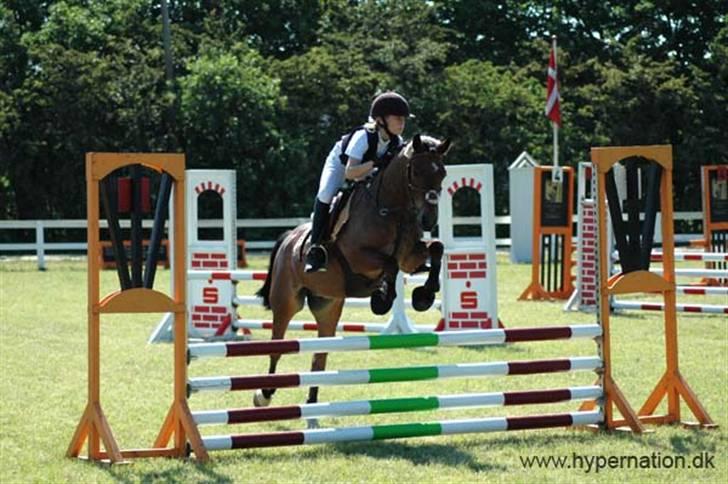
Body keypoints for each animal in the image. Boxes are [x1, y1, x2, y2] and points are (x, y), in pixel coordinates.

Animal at [254, 134, 451, 427]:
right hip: (286, 302)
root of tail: (289, 237)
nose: (428, 220)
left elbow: (435, 248)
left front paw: (424, 296)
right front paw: (382, 299)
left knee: (319, 358)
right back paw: (263, 395)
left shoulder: (410, 257)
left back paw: (312, 412)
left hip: (328, 305)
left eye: (443, 173)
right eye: (416, 171)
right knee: (276, 348)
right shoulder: (358, 255)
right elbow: (389, 265)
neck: (392, 210)